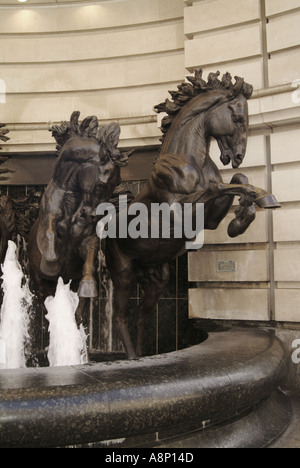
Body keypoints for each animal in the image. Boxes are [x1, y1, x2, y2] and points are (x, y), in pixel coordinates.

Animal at [104, 68, 280, 358]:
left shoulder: (209, 219)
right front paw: (264, 197)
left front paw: (241, 220)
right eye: (236, 118)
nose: (238, 157)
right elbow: (219, 186)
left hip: (156, 277)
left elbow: (236, 181)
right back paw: (130, 358)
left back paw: (141, 356)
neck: (187, 160)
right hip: (123, 273)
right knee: (119, 318)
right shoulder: (179, 213)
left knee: (141, 315)